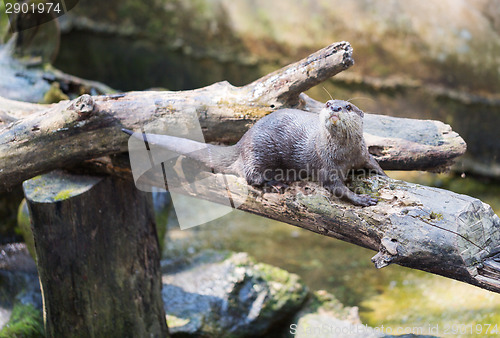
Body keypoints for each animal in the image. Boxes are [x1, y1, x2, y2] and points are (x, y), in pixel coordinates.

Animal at [122, 99, 386, 207]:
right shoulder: (326, 165)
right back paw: (276, 182)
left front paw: (382, 174)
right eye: (328, 103)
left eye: (348, 106)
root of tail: (241, 142)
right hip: (259, 151)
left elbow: (373, 163)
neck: (345, 154)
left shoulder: (362, 153)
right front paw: (362, 199)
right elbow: (336, 187)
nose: (335, 108)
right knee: (251, 176)